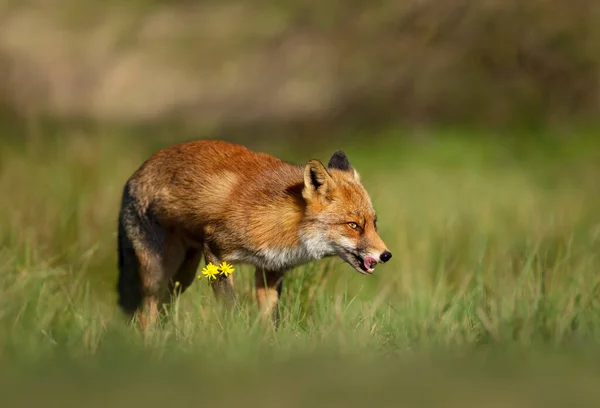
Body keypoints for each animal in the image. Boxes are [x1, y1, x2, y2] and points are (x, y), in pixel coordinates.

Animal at [117, 140, 392, 328]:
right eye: (353, 225)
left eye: (374, 224)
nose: (386, 255)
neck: (285, 223)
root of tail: (133, 176)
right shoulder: (215, 250)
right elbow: (230, 308)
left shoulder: (271, 269)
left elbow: (268, 322)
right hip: (157, 272)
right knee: (145, 313)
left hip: (182, 276)